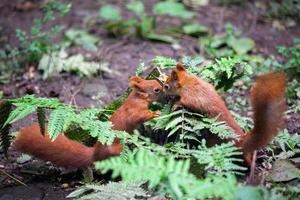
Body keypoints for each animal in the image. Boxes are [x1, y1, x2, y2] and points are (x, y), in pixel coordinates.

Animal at [12, 77, 163, 168]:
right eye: (156, 89)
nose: (164, 85)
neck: (137, 98)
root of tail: (95, 154)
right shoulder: (134, 111)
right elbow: (140, 116)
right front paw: (155, 113)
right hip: (112, 149)